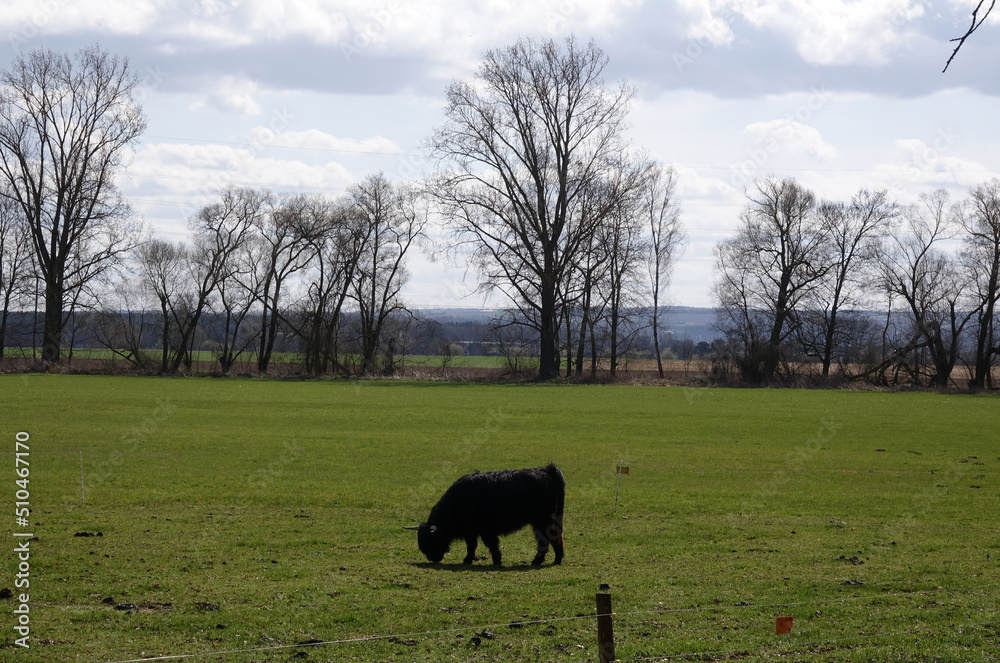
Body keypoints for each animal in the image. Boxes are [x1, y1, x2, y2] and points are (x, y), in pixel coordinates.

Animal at [406, 464, 564, 568]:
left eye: (431, 539)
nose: (433, 558)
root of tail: (545, 469)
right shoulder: (474, 531)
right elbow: (474, 546)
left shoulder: (482, 530)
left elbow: (484, 545)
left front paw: (492, 560)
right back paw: (556, 559)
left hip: (542, 520)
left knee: (547, 538)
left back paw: (539, 560)